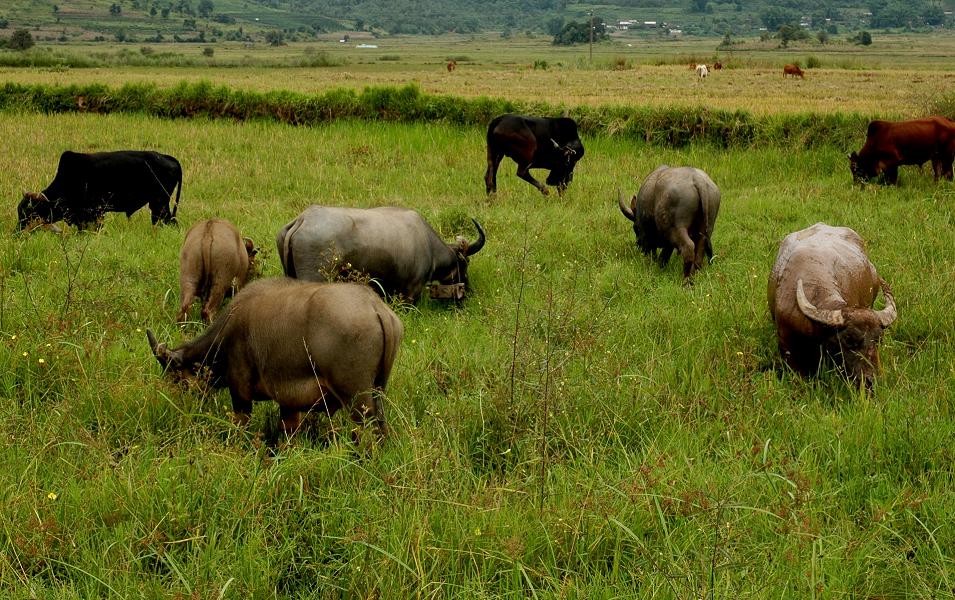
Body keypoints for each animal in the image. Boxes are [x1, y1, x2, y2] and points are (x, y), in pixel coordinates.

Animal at [146, 278, 404, 438]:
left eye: (177, 379)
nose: (179, 409)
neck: (227, 334)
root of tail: (374, 307)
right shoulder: (289, 404)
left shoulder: (240, 393)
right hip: (377, 392)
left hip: (357, 400)